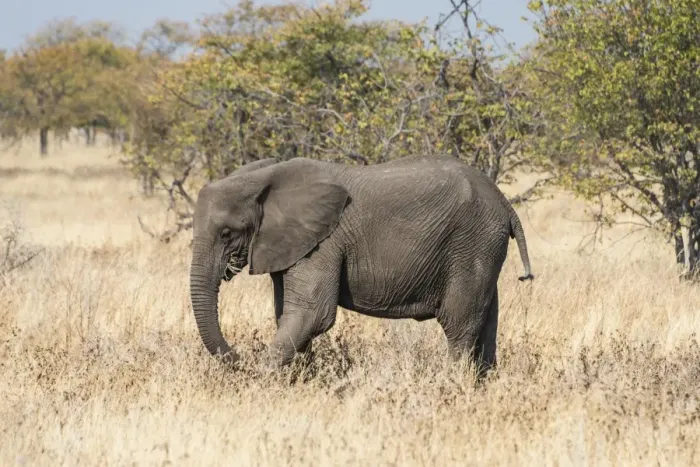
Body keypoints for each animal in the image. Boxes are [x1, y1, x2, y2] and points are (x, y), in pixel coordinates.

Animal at [189, 155, 534, 374]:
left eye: (226, 233)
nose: (238, 357)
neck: (263, 178)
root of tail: (505, 202)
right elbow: (286, 313)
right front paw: (300, 381)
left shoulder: (324, 243)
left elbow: (313, 314)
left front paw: (262, 379)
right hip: (483, 247)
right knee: (485, 324)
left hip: (472, 242)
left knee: (459, 324)